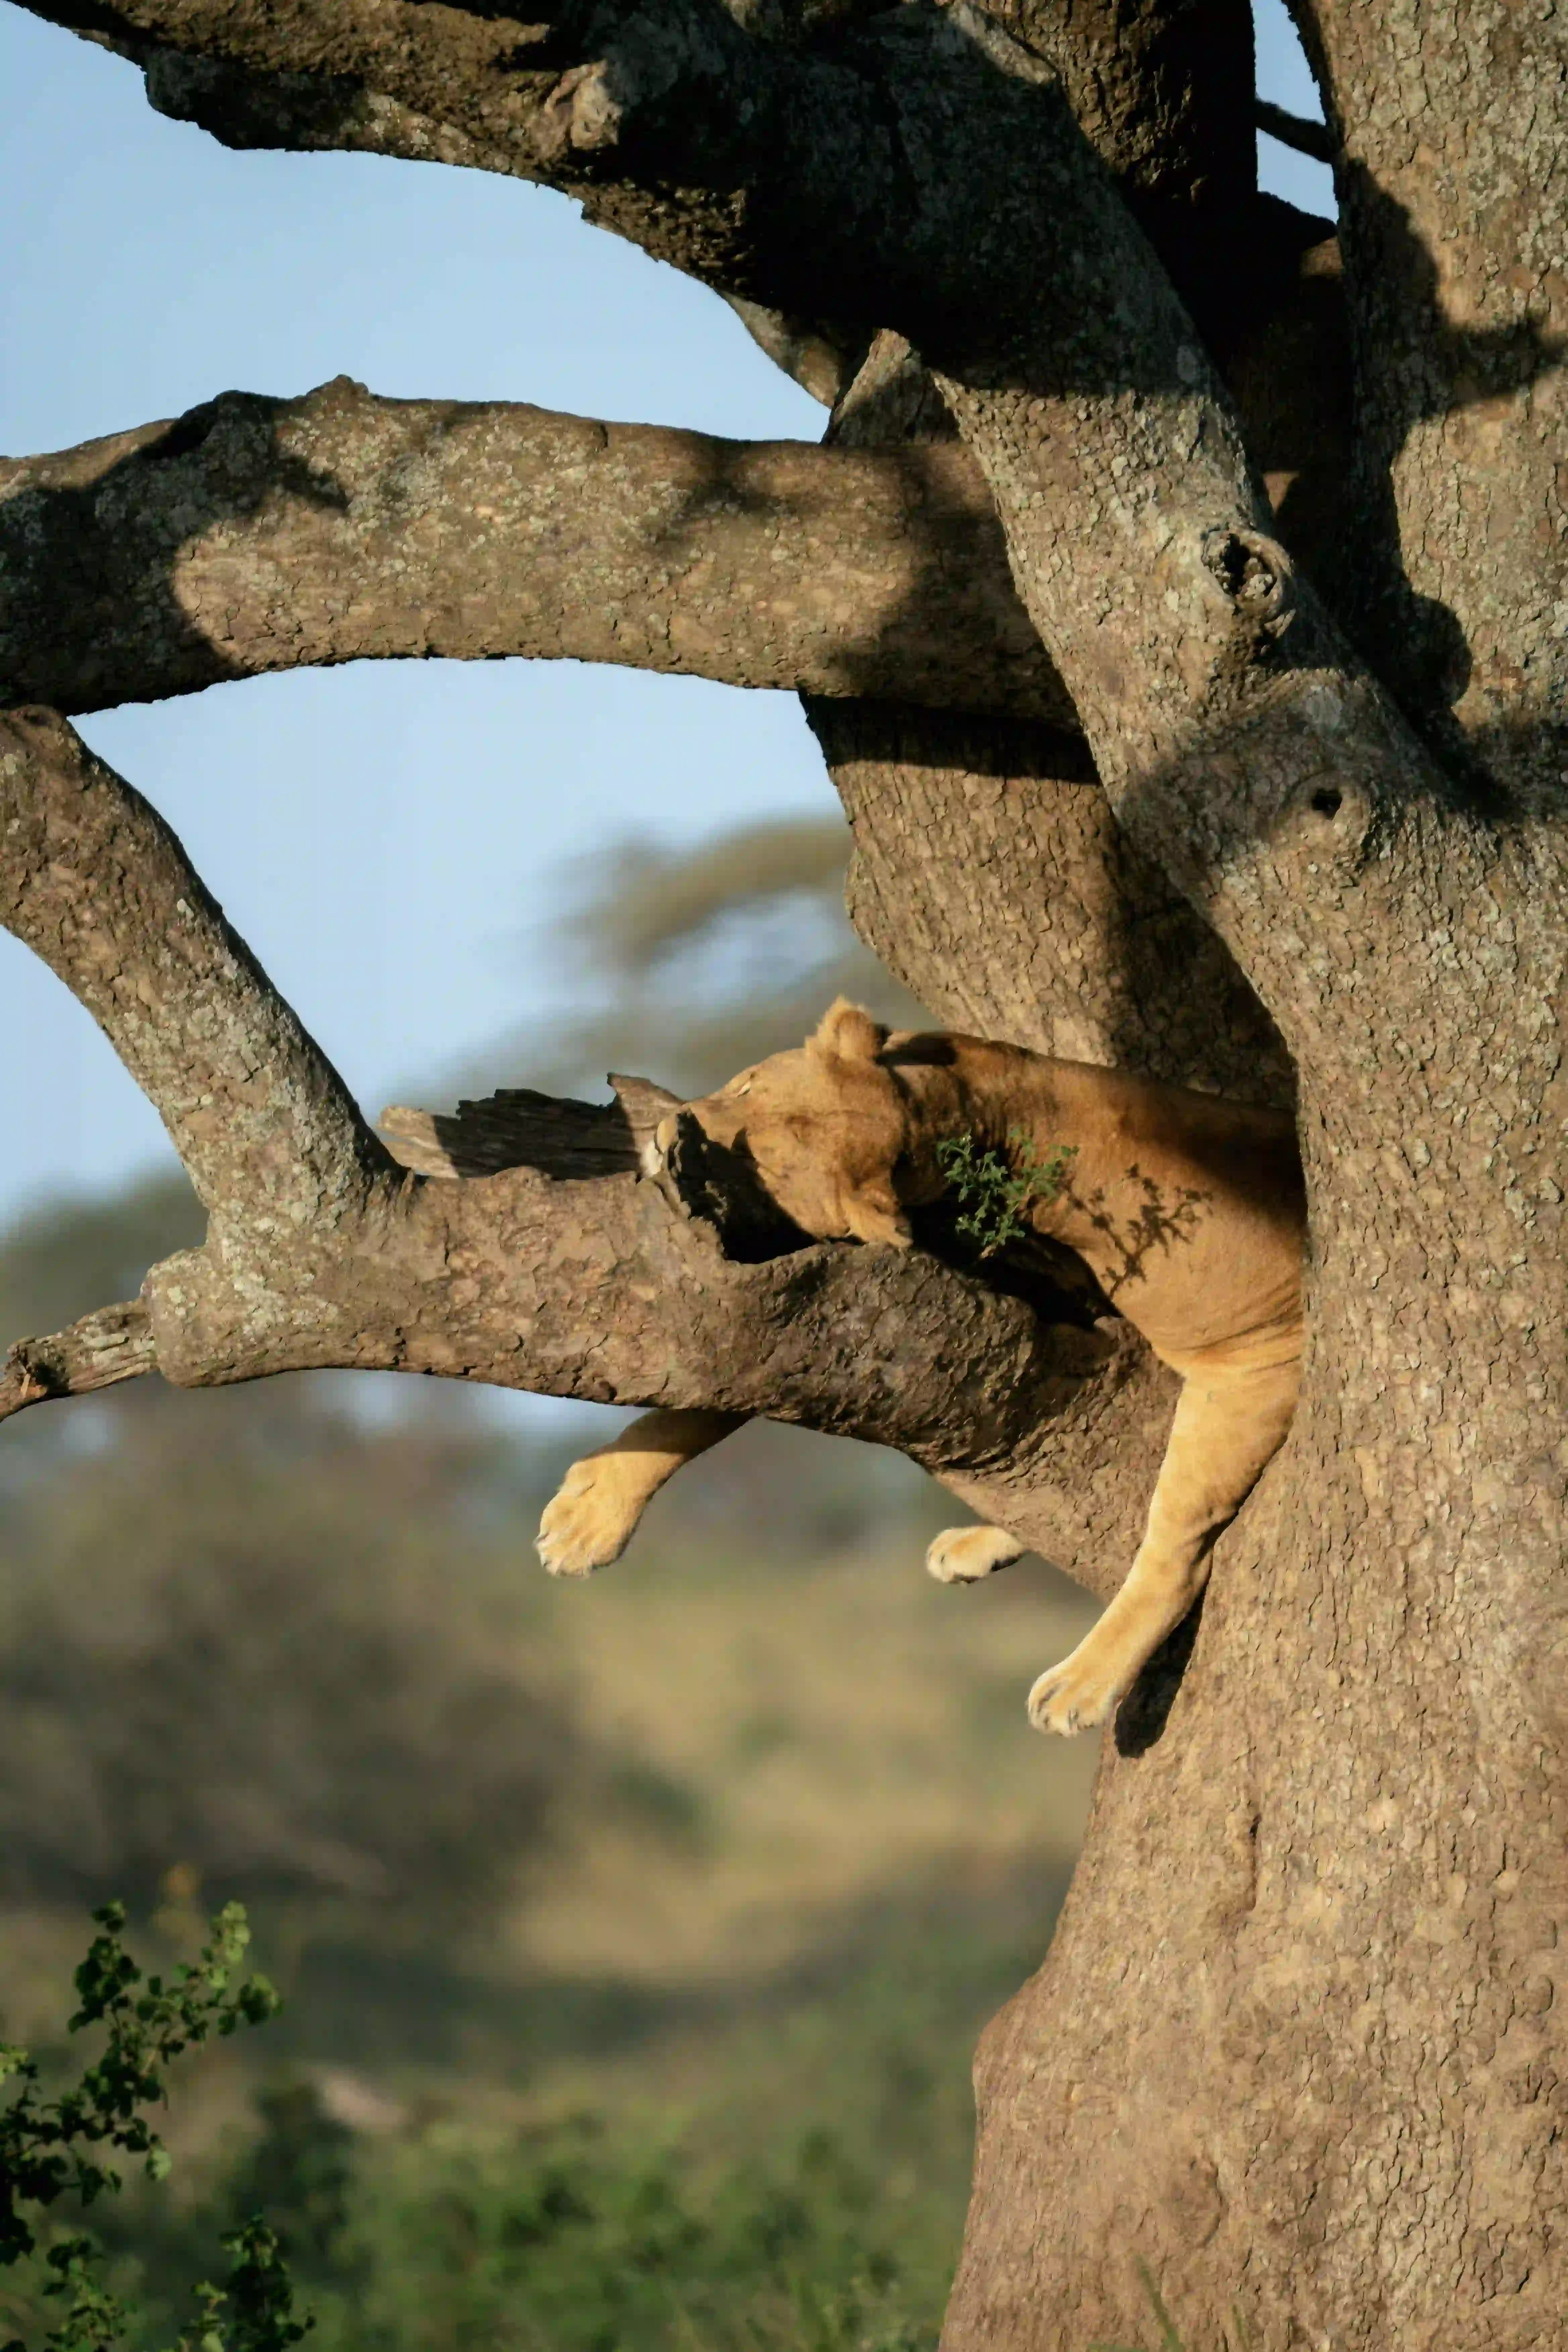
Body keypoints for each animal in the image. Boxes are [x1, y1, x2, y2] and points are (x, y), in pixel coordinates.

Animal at [537, 1000, 1305, 1736]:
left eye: (761, 1167)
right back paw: (972, 1545)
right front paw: (592, 1514)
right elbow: (722, 1386)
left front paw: (583, 1517)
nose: (670, 1134)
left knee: (1173, 1533)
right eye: (745, 1086)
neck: (947, 1114)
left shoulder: (1255, 1356)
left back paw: (1079, 1682)